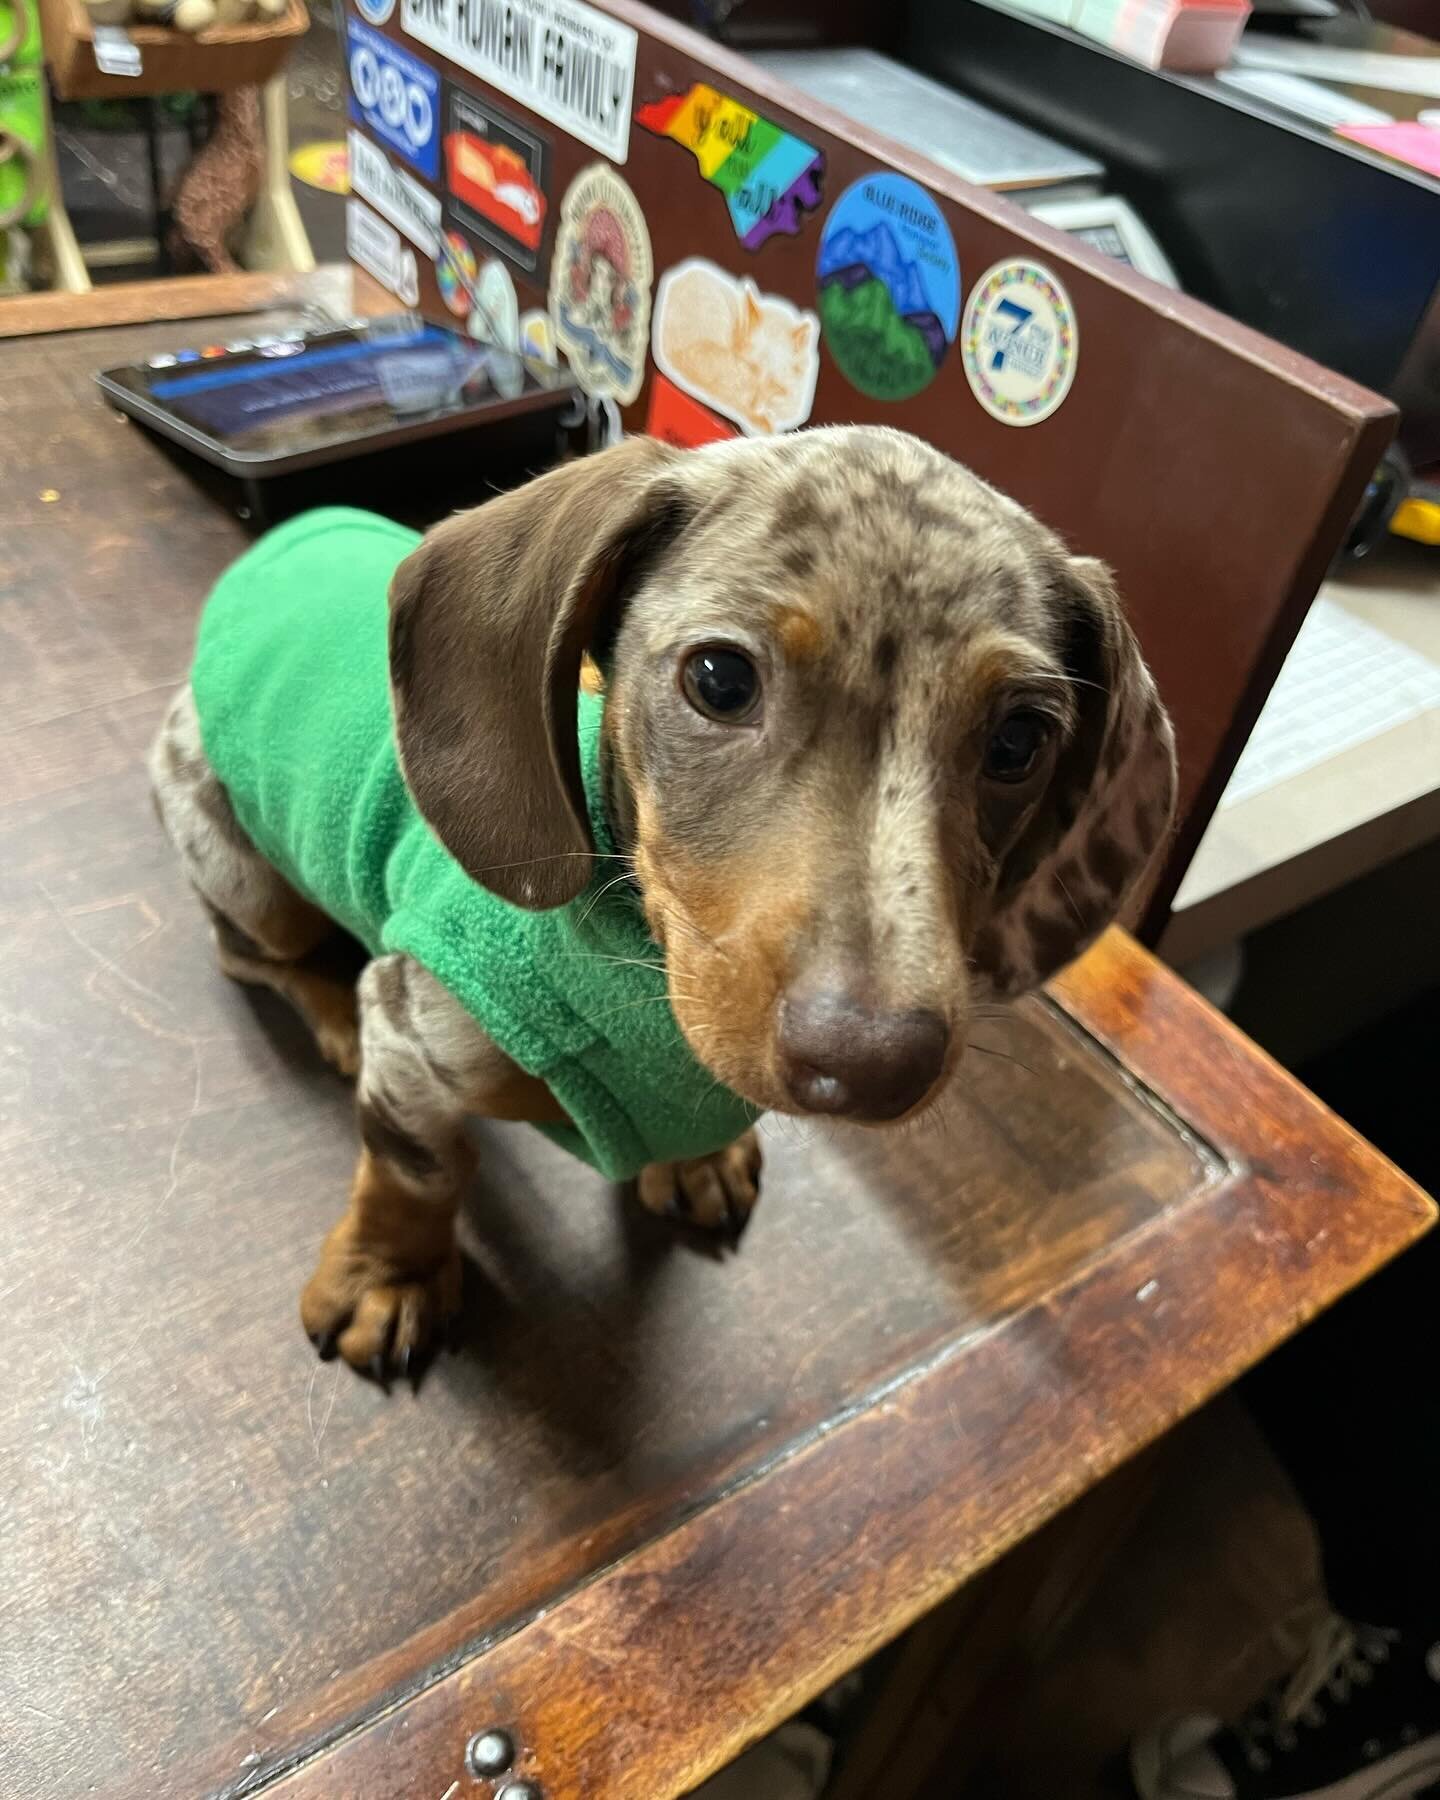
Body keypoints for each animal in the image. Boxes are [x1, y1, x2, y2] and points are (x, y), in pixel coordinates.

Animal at [152, 424, 1173, 1375]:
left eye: (1019, 741)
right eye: (720, 678)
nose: (874, 1065)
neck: (644, 978)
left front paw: (697, 1161)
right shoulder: (412, 1033)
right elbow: (418, 1171)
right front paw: (388, 1274)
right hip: (241, 869)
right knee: (250, 951)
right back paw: (328, 1014)